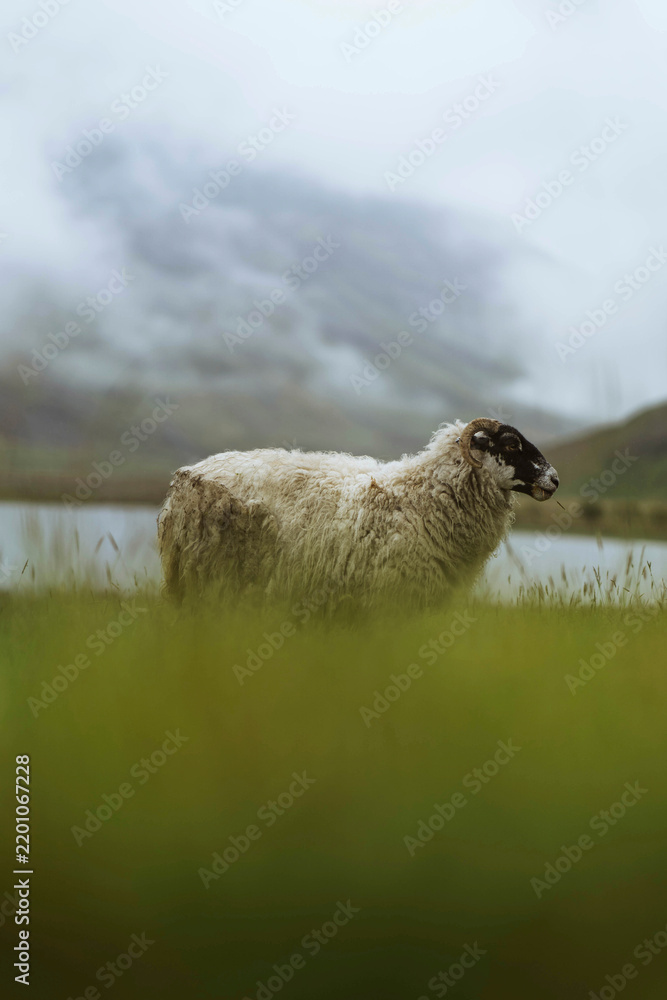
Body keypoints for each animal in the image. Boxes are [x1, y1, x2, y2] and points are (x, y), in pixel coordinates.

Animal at [157, 418, 559, 613]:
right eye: (511, 444)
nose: (555, 479)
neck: (425, 494)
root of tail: (183, 479)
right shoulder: (394, 595)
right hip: (209, 574)